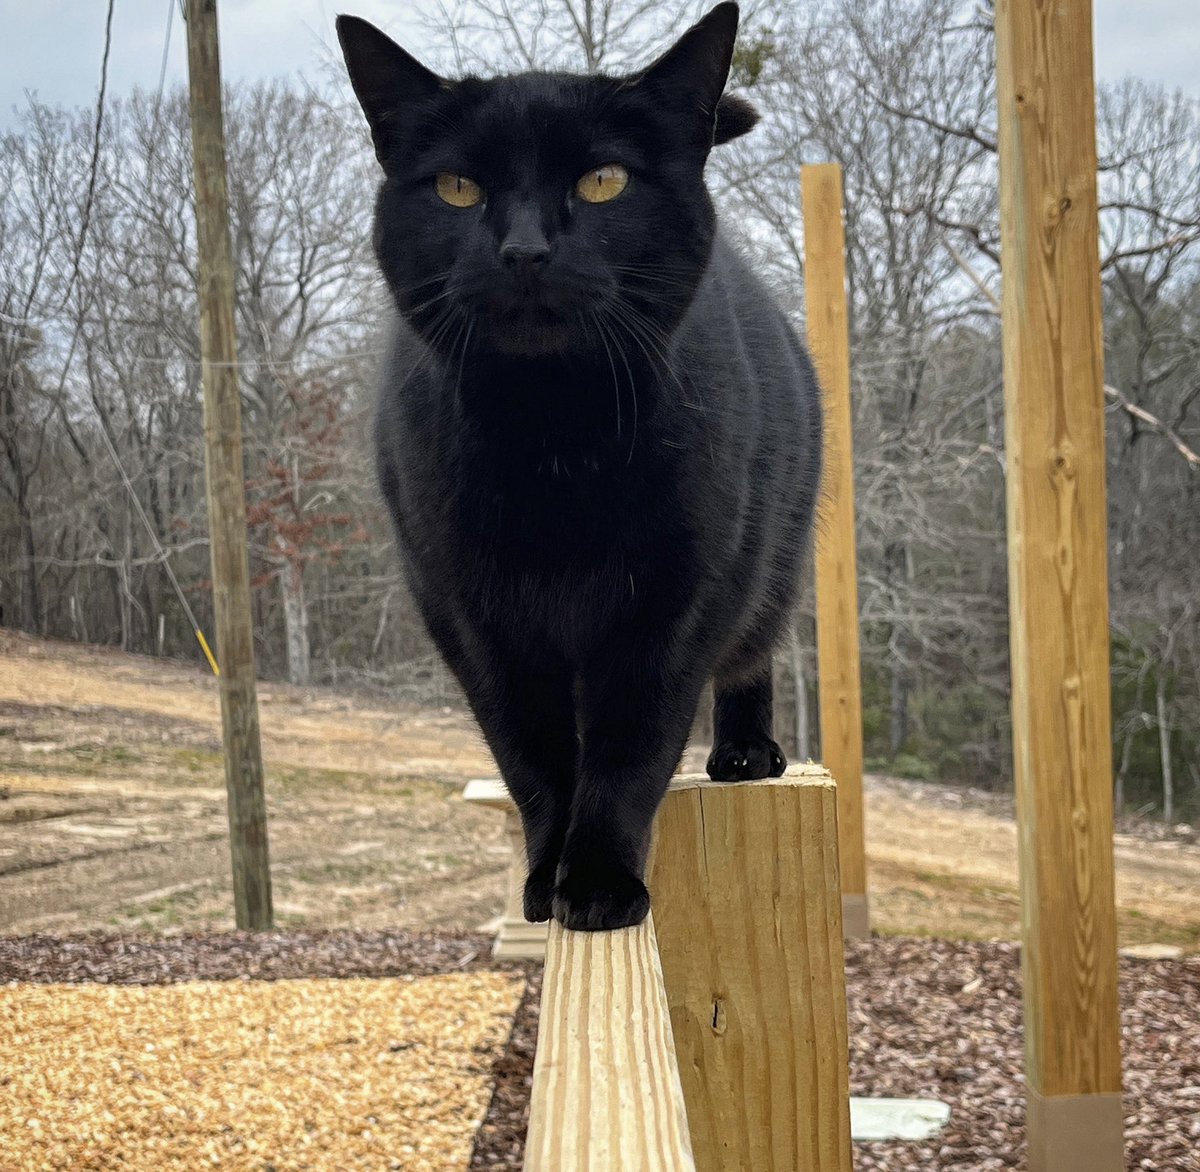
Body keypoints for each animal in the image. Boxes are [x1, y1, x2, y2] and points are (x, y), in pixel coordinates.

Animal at [338, 2, 825, 930]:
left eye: (604, 182)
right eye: (458, 188)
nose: (525, 250)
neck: (552, 439)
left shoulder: (673, 605)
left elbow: (629, 750)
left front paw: (600, 882)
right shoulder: (473, 620)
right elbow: (531, 756)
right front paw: (545, 876)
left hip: (774, 554)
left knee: (753, 653)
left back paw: (747, 752)